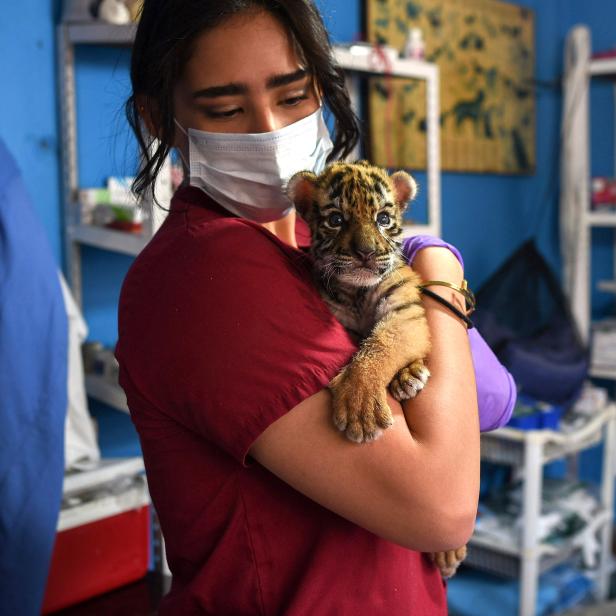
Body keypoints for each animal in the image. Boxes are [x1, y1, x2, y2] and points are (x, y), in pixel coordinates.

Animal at [286, 161, 430, 446]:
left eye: (383, 219)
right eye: (336, 220)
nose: (366, 252)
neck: (358, 293)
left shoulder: (403, 311)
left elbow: (381, 344)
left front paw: (362, 407)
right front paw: (361, 409)